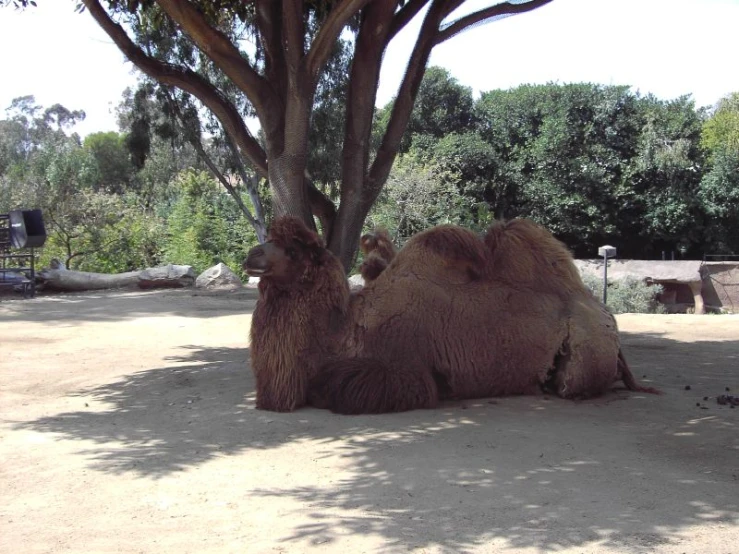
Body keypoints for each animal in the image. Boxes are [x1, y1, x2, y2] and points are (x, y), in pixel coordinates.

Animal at [244, 215, 660, 410]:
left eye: (293, 250)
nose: (251, 255)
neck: (343, 329)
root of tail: (608, 319)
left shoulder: (403, 373)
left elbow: (335, 388)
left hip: (584, 351)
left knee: (573, 385)